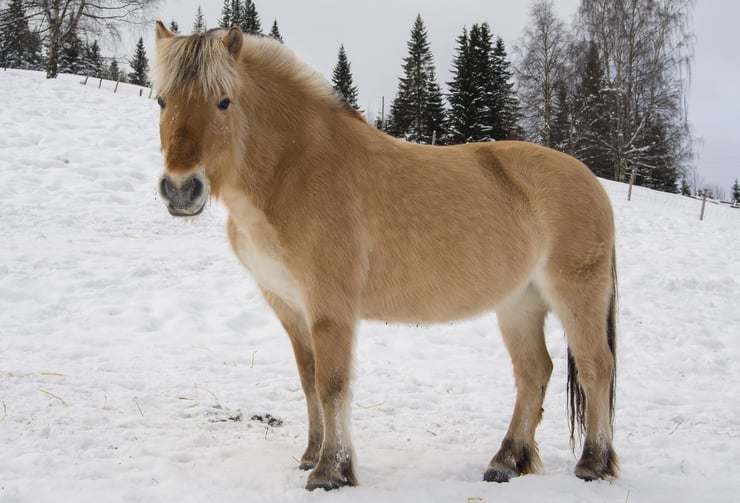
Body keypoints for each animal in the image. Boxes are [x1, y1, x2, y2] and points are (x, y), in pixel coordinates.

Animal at [152, 22, 618, 491]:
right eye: (162, 100)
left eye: (223, 101)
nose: (180, 190)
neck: (295, 170)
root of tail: (590, 180)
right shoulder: (289, 305)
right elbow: (308, 381)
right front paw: (311, 456)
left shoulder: (331, 307)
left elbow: (332, 384)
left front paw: (330, 471)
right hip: (519, 302)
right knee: (533, 372)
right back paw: (506, 461)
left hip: (576, 294)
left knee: (596, 367)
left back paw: (592, 464)